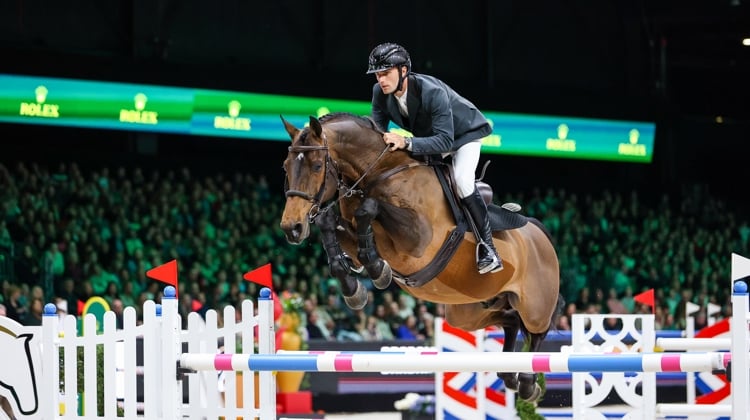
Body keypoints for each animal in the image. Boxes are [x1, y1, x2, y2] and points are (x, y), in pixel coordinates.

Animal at [282, 111, 564, 400]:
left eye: (317, 166)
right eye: (285, 167)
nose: (292, 228)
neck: (380, 174)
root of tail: (539, 232)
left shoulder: (418, 238)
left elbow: (369, 208)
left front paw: (377, 270)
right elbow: (329, 221)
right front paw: (354, 287)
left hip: (535, 305)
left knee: (536, 330)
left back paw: (528, 384)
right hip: (469, 311)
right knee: (510, 320)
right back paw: (509, 373)